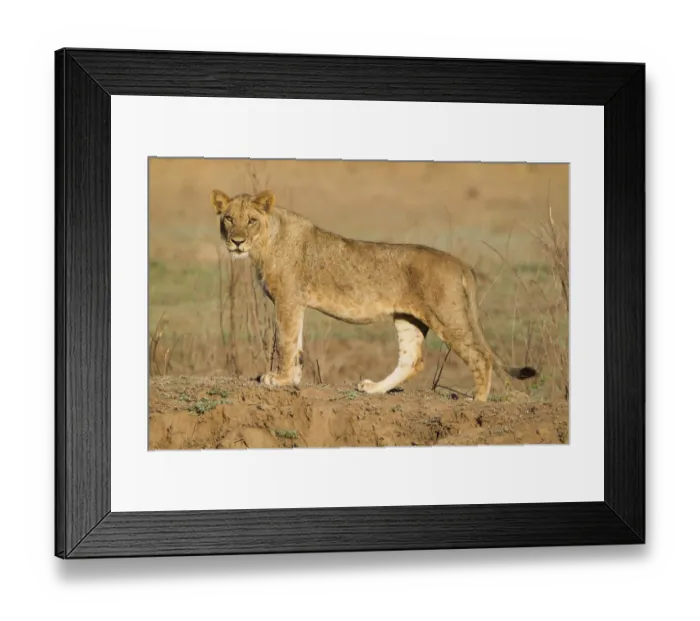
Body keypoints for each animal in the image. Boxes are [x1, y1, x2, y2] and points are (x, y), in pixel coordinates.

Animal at [210, 188, 537, 402]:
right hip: (407, 318)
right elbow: (297, 346)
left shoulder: (288, 300)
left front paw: (277, 380)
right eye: (228, 218)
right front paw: (292, 380)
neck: (265, 243)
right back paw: (375, 389)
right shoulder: (296, 303)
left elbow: (286, 343)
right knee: (412, 360)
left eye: (251, 220)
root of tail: (460, 264)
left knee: (481, 355)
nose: (237, 242)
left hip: (448, 315)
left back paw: (477, 401)